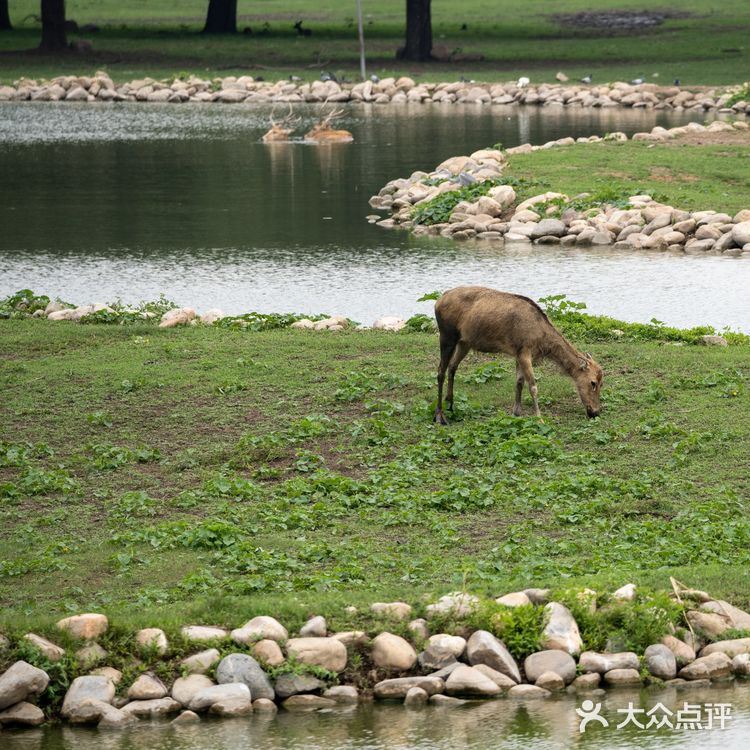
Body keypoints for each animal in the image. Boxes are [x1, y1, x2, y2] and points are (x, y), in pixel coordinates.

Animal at [433, 286, 603, 425]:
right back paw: (439, 415)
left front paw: (516, 412)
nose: (595, 412)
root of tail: (437, 302)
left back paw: (451, 404)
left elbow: (519, 382)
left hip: (464, 342)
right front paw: (539, 418)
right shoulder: (525, 351)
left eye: (602, 383)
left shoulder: (518, 353)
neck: (542, 341)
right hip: (447, 335)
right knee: (440, 370)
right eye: (593, 382)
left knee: (452, 367)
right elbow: (533, 386)